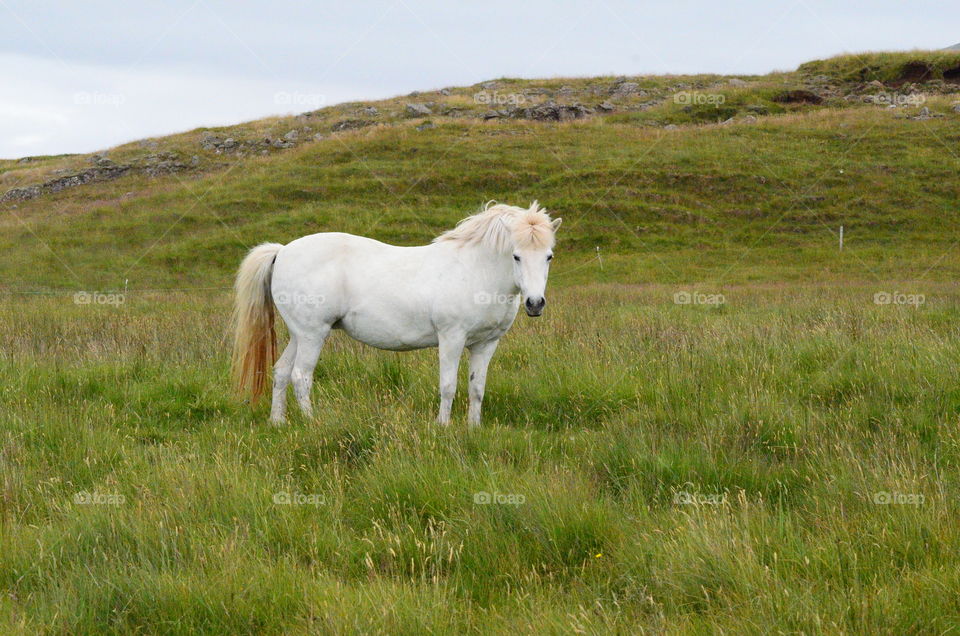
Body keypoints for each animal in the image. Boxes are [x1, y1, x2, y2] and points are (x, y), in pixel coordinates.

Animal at [233, 201, 564, 424]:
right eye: (516, 256)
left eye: (549, 256)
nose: (535, 303)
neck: (474, 270)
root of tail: (282, 251)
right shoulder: (452, 339)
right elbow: (448, 386)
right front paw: (443, 428)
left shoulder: (485, 344)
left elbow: (476, 388)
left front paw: (473, 428)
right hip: (313, 334)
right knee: (301, 376)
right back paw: (313, 423)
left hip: (299, 335)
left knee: (281, 372)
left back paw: (279, 422)